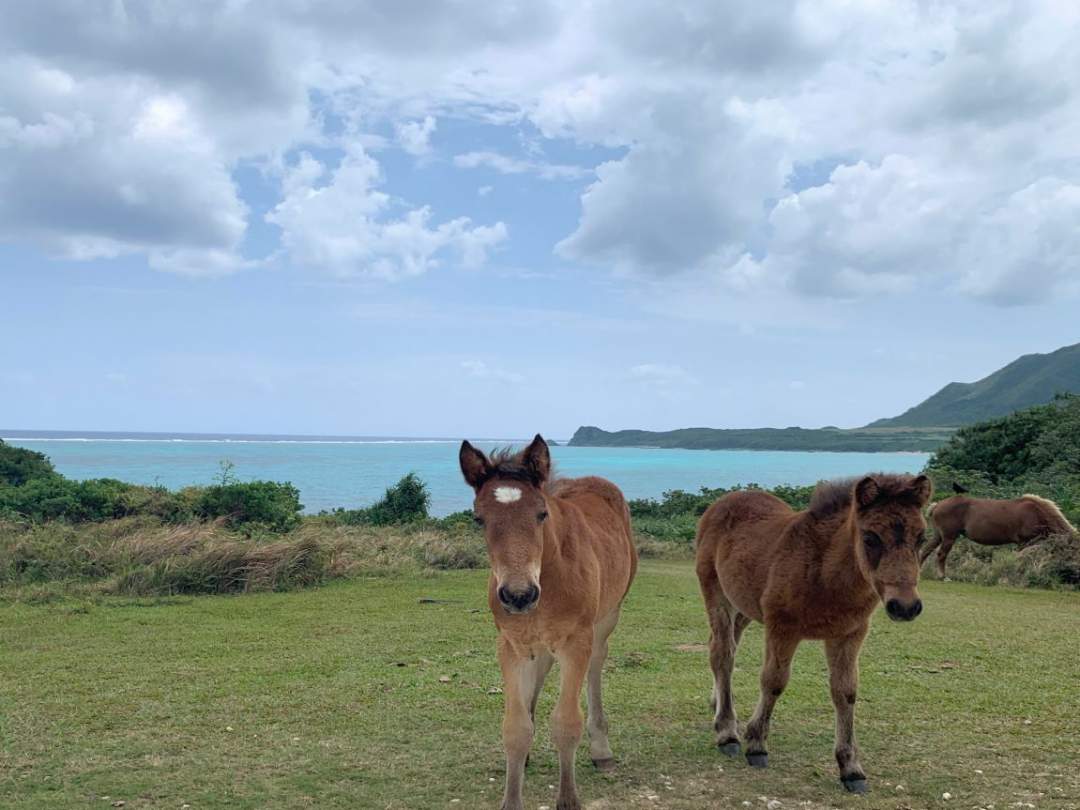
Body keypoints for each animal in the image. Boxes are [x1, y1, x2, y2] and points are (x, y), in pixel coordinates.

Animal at [460, 438, 635, 810]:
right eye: (479, 519)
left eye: (541, 514)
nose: (518, 595)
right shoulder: (510, 644)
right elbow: (515, 728)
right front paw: (512, 797)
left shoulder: (576, 642)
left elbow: (567, 723)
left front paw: (568, 798)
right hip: (536, 642)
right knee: (541, 669)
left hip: (607, 617)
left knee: (597, 664)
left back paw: (601, 749)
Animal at [695, 473, 933, 794]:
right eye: (870, 537)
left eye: (921, 538)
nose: (905, 607)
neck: (826, 574)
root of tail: (723, 502)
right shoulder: (782, 628)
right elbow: (773, 682)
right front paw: (756, 744)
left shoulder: (849, 634)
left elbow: (845, 692)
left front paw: (851, 769)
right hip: (715, 592)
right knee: (722, 652)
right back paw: (727, 732)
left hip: (743, 605)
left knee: (724, 648)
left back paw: (717, 704)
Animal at [920, 481, 1080, 578]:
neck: (1037, 512)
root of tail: (937, 505)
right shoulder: (1025, 542)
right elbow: (1022, 559)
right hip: (949, 537)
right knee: (941, 555)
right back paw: (943, 576)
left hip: (938, 536)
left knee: (925, 551)